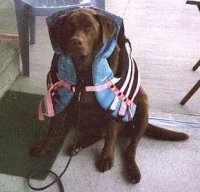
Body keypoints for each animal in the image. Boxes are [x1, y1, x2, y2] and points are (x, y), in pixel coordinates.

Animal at [30, 8, 188, 183]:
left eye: (90, 28)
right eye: (68, 27)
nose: (76, 42)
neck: (83, 71)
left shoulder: (114, 105)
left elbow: (111, 135)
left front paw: (106, 157)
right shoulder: (60, 98)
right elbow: (53, 129)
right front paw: (43, 147)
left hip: (142, 106)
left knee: (129, 147)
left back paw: (132, 170)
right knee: (97, 135)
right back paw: (77, 145)